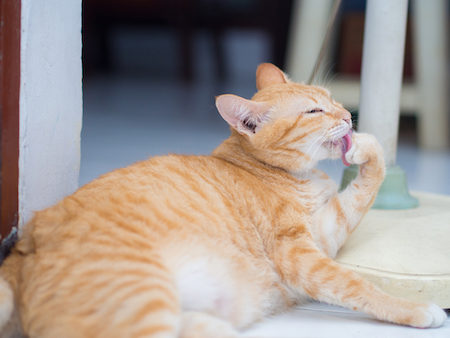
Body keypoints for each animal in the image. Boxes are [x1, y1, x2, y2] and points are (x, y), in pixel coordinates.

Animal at [0, 64, 446, 338]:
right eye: (314, 111)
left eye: (332, 99)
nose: (347, 116)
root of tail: (20, 252)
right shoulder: (302, 256)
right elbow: (357, 285)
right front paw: (414, 310)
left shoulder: (327, 231)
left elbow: (370, 179)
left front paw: (365, 147)